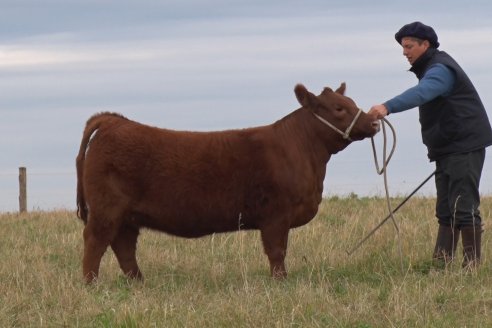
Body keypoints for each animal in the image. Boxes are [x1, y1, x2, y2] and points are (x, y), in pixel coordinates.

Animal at [75, 84, 378, 282]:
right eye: (339, 108)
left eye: (352, 103)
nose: (374, 122)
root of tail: (114, 122)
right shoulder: (276, 216)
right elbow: (277, 251)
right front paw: (280, 281)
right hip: (107, 208)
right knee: (95, 241)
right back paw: (91, 284)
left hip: (126, 216)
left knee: (123, 246)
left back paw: (138, 282)